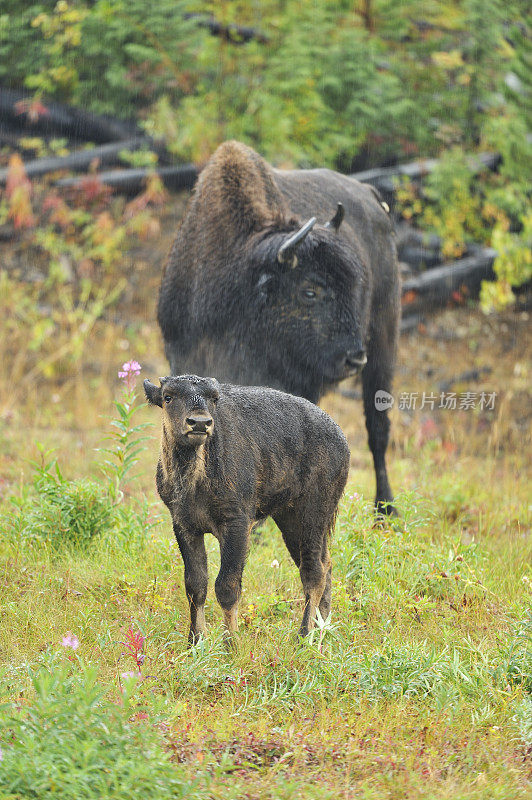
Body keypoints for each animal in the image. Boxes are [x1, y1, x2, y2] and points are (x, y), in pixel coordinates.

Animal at [144, 376, 350, 644]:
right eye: (168, 397)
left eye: (214, 398)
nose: (199, 422)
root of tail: (341, 438)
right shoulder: (184, 525)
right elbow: (195, 585)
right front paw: (195, 642)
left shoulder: (237, 525)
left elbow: (226, 586)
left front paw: (231, 644)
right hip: (290, 522)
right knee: (325, 564)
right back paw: (321, 630)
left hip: (312, 516)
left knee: (313, 572)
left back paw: (303, 637)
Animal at [158, 139, 400, 512]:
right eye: (310, 290)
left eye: (354, 284)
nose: (353, 358)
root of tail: (373, 197)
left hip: (383, 343)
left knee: (377, 429)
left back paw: (385, 510)